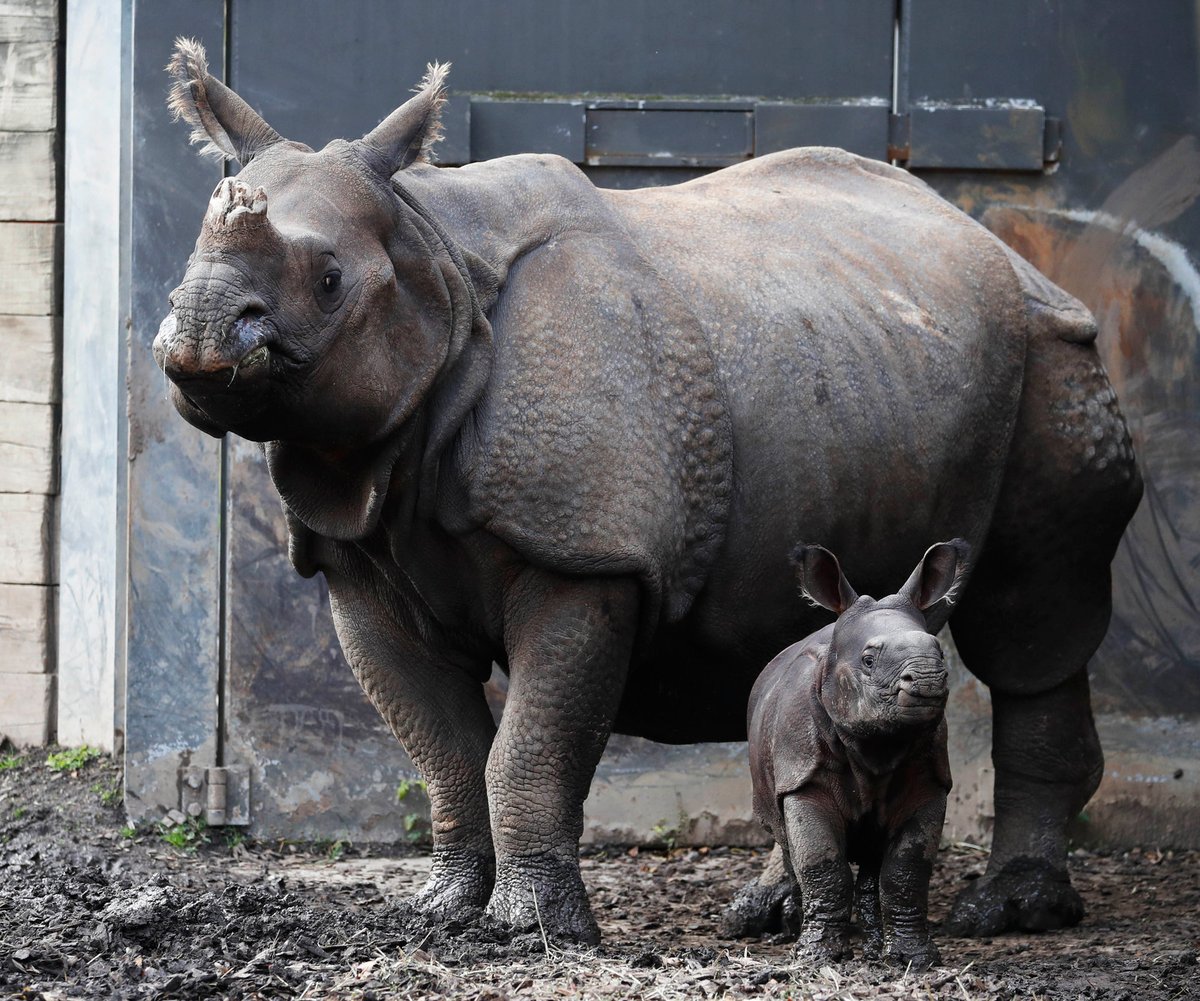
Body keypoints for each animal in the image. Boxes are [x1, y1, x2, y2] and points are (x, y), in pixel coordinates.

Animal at [748, 540, 967, 969]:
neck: (876, 743)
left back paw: (873, 947)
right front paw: (818, 957)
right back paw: (793, 932)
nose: (929, 679)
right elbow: (822, 864)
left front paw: (914, 958)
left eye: (940, 652)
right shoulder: (802, 777)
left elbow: (907, 870)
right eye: (868, 661)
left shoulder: (930, 780)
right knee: (789, 847)